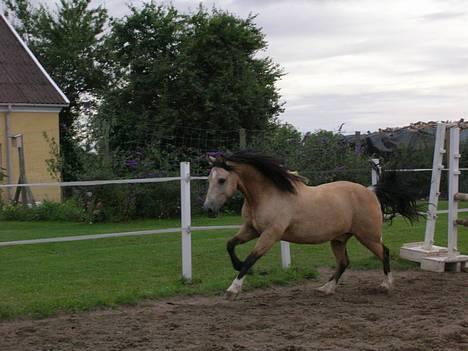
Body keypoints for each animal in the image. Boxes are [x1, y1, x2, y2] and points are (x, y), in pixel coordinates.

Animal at [202, 150, 420, 302]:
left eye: (221, 180)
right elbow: (230, 245)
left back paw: (386, 285)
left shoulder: (270, 234)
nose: (208, 210)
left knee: (384, 252)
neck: (267, 195)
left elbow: (250, 259)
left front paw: (232, 290)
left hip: (368, 236)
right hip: (339, 239)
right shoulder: (252, 229)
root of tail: (370, 191)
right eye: (209, 179)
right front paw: (236, 266)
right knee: (344, 262)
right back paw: (326, 288)